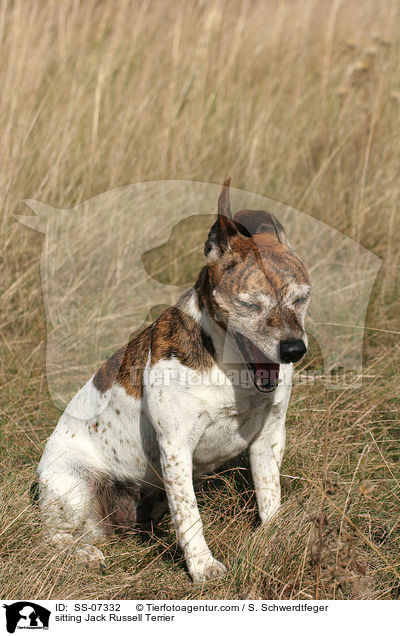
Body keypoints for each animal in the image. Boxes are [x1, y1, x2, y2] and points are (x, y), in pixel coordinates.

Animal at [36, 178, 310, 580]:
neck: (228, 367)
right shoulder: (176, 447)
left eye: (302, 298)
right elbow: (190, 516)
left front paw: (275, 538)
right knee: (55, 538)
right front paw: (203, 567)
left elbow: (269, 495)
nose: (293, 349)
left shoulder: (269, 437)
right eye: (250, 304)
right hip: (71, 486)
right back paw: (83, 554)